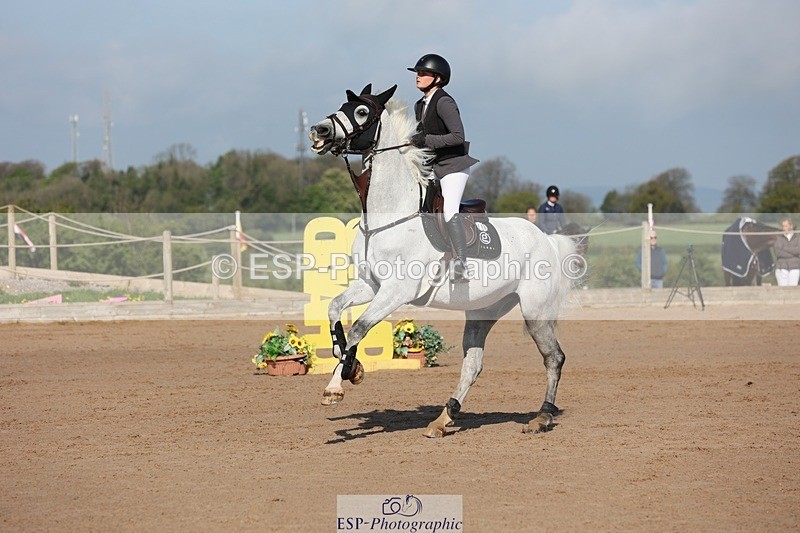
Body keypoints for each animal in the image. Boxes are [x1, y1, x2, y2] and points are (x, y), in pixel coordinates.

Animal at [308, 84, 581, 437]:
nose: (319, 131)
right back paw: (444, 417)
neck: (389, 215)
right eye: (344, 105)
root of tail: (547, 239)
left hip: (536, 312)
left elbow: (359, 328)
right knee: (473, 364)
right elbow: (334, 309)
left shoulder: (396, 291)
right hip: (482, 312)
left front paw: (337, 386)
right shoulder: (371, 284)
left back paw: (542, 416)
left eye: (362, 112)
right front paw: (348, 365)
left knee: (553, 357)